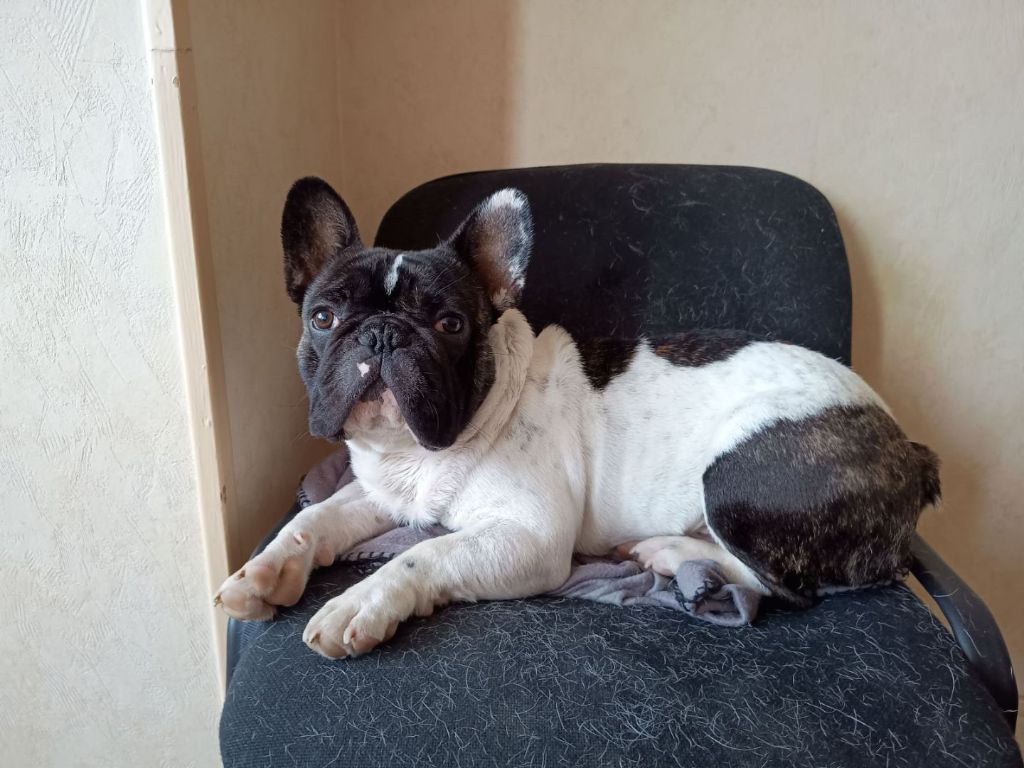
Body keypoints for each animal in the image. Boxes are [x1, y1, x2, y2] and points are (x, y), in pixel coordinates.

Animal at [215, 177, 940, 658]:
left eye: (449, 324)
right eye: (323, 317)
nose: (382, 335)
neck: (417, 453)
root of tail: (909, 448)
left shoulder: (527, 538)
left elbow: (423, 555)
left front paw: (359, 601)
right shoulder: (382, 492)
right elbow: (316, 518)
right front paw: (265, 572)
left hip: (738, 476)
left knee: (784, 586)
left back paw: (672, 550)